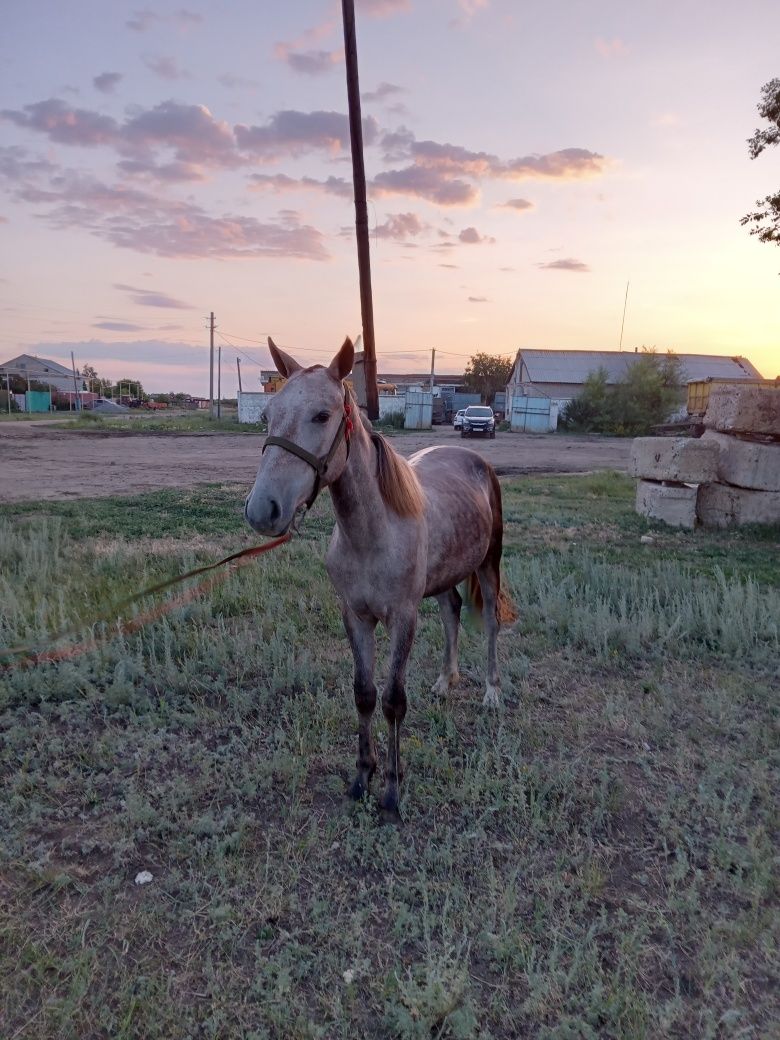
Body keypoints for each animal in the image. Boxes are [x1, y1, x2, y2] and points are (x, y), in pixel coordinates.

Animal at [244, 334, 513, 819]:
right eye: (267, 416)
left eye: (322, 415)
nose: (262, 510)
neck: (372, 532)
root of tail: (474, 458)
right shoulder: (356, 616)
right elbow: (364, 694)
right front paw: (361, 778)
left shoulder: (403, 618)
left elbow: (392, 702)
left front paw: (390, 789)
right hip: (443, 578)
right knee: (452, 612)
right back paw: (445, 682)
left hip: (488, 564)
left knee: (490, 624)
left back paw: (491, 693)